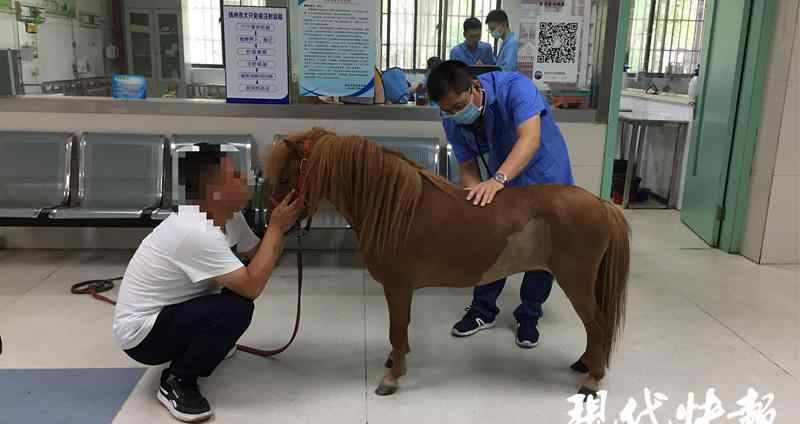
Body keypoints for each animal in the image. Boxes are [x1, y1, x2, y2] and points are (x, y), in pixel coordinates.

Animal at [264, 126, 632, 398]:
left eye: (284, 179)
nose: (273, 223)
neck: (394, 208)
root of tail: (600, 204)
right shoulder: (402, 289)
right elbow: (401, 329)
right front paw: (395, 360)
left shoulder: (398, 286)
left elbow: (397, 328)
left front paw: (393, 377)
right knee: (595, 328)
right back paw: (586, 364)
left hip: (576, 282)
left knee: (597, 325)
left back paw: (592, 380)